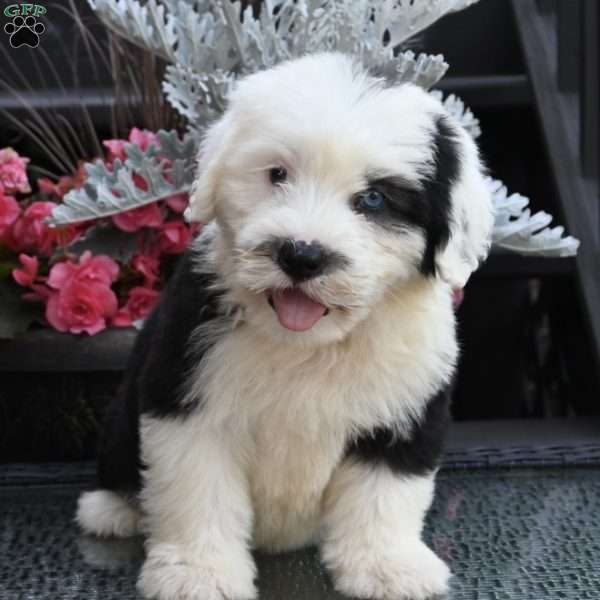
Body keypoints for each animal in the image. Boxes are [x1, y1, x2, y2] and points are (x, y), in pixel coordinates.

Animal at [77, 52, 494, 600]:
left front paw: (388, 567)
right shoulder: (189, 398)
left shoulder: (407, 406)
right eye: (278, 174)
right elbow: (196, 491)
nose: (302, 255)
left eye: (375, 199)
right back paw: (111, 509)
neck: (310, 345)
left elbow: (384, 495)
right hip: (123, 413)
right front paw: (198, 573)